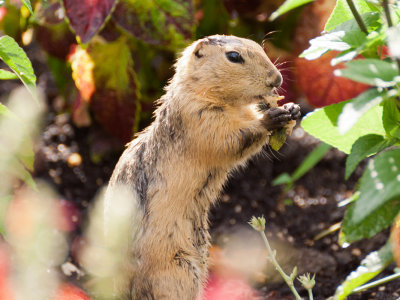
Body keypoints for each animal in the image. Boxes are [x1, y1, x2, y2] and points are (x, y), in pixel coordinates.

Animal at [104, 35, 298, 300]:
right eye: (234, 56)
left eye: (259, 46)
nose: (276, 79)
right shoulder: (199, 117)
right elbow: (229, 139)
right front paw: (271, 118)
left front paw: (292, 109)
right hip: (178, 271)